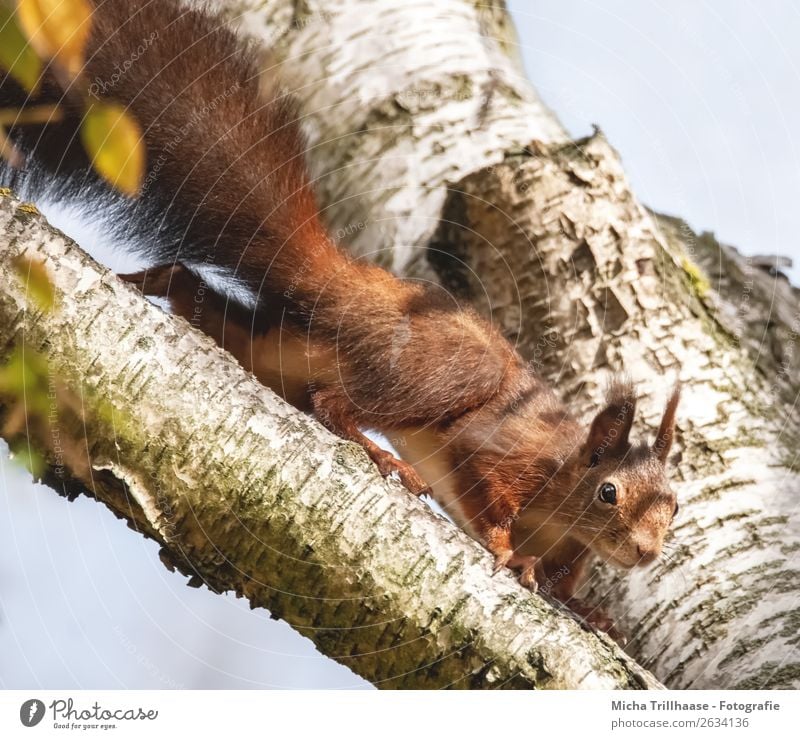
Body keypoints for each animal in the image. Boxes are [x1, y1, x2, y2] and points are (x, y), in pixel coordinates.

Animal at [1, 0, 680, 636]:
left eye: (673, 507)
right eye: (609, 492)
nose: (646, 554)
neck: (565, 502)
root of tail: (352, 287)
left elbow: (568, 581)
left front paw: (587, 608)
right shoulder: (507, 453)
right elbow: (485, 487)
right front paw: (511, 553)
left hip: (281, 350)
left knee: (214, 305)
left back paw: (146, 282)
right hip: (440, 371)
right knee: (337, 403)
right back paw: (384, 455)